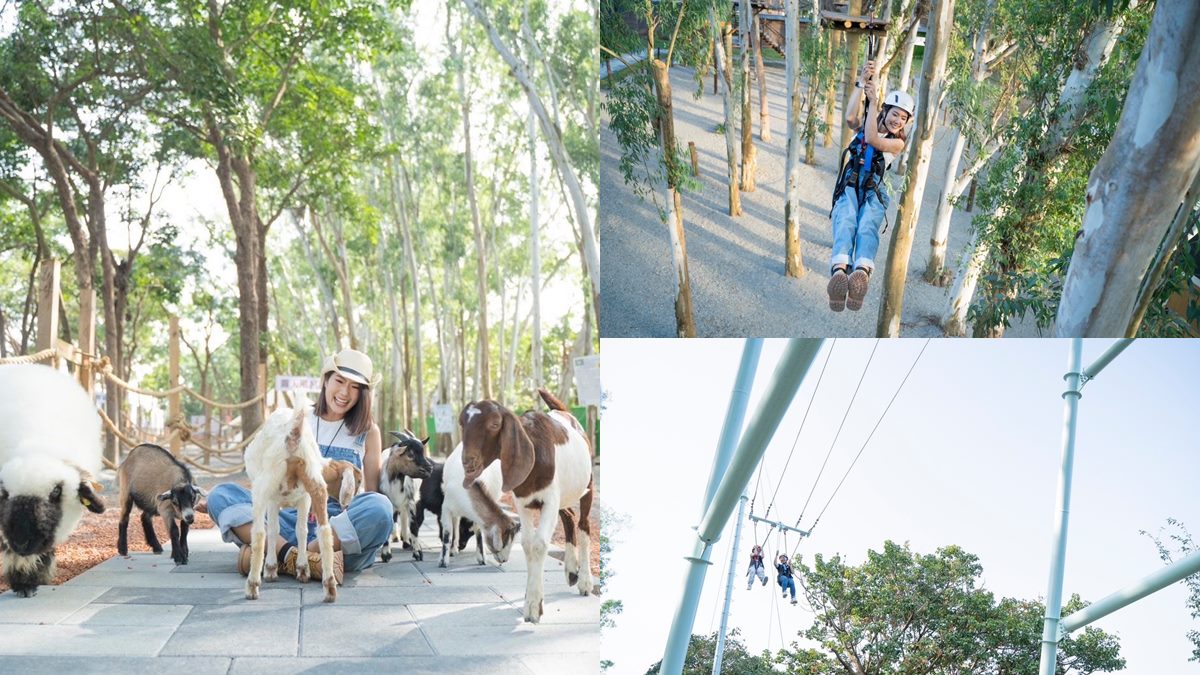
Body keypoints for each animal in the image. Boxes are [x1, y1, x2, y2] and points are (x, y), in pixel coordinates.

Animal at [0, 362, 105, 593]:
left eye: (56, 492)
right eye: (4, 493)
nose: (21, 541)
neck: (35, 444)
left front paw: (30, 580)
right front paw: (23, 582)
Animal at [243, 403, 338, 598]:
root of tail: (294, 434)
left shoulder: (272, 499)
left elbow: (273, 529)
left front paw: (271, 569)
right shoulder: (304, 498)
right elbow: (300, 529)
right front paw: (302, 568)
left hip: (264, 484)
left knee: (259, 532)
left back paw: (252, 585)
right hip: (314, 481)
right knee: (324, 529)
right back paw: (330, 586)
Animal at [458, 386, 595, 624]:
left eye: (494, 424)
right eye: (462, 423)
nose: (468, 461)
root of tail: (563, 411)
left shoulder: (549, 500)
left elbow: (539, 545)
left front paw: (533, 607)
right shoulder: (523, 503)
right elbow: (527, 545)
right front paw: (530, 598)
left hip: (587, 485)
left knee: (583, 525)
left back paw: (585, 581)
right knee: (568, 516)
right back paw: (571, 571)